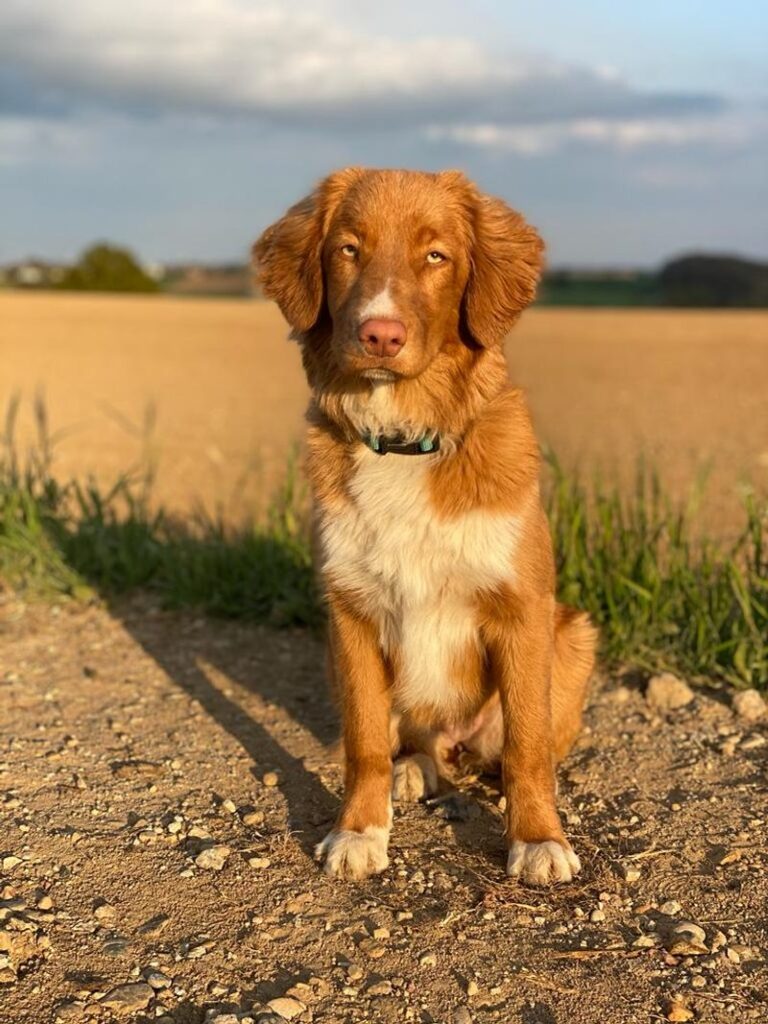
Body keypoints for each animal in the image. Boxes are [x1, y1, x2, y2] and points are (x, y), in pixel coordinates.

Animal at [256, 169, 598, 888]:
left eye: (436, 256)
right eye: (349, 249)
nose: (380, 335)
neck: (402, 437)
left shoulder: (522, 611)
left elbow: (527, 747)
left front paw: (538, 838)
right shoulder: (350, 614)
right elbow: (363, 743)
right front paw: (360, 829)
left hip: (573, 635)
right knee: (415, 744)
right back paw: (413, 769)